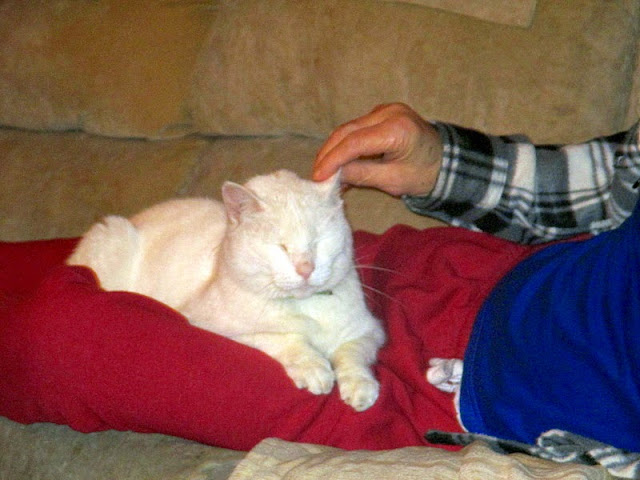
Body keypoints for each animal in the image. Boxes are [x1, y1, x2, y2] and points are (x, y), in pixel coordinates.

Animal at [67, 169, 385, 411]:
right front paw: (314, 368)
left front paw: (360, 386)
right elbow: (284, 338)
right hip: (114, 234)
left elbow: (352, 352)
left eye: (318, 241)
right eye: (281, 247)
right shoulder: (216, 326)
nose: (306, 267)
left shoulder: (369, 332)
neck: (307, 308)